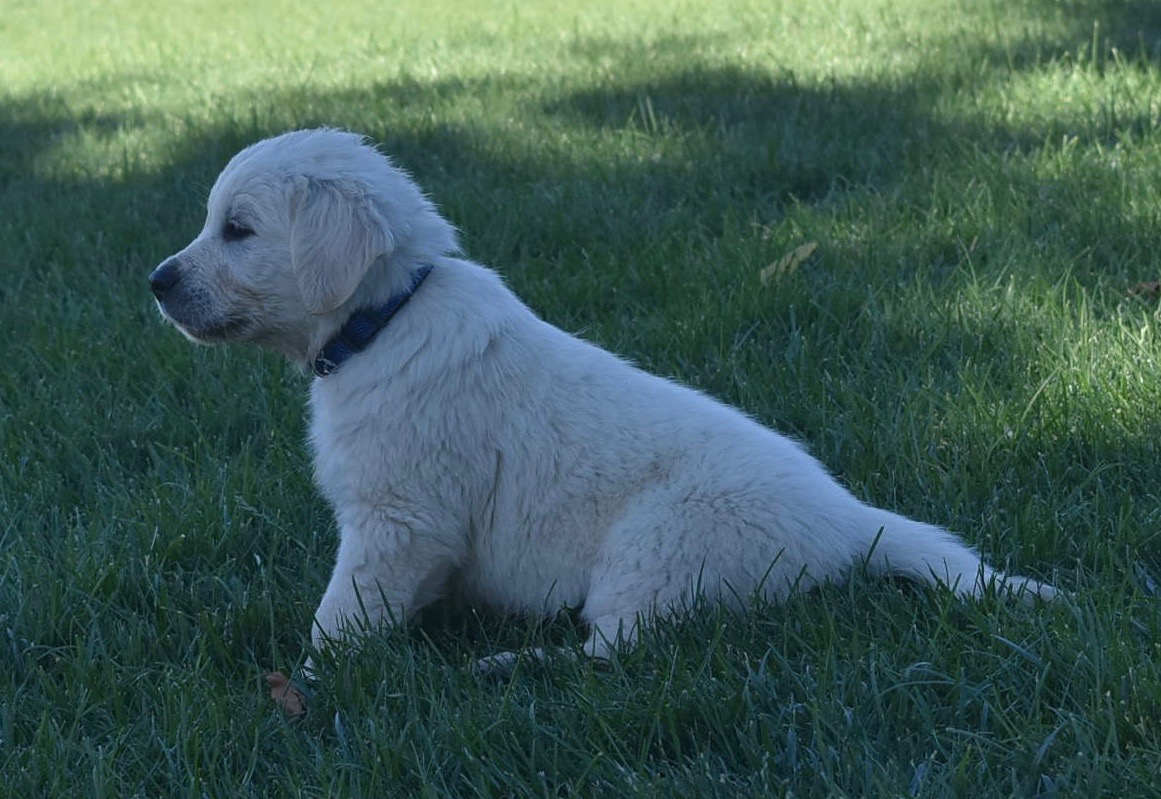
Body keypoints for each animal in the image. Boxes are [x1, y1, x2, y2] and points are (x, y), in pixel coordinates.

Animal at [150, 129, 1056, 690]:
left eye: (238, 230)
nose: (156, 280)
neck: (389, 316)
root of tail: (849, 519)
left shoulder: (399, 518)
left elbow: (341, 614)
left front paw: (306, 686)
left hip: (658, 547)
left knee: (616, 654)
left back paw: (502, 666)